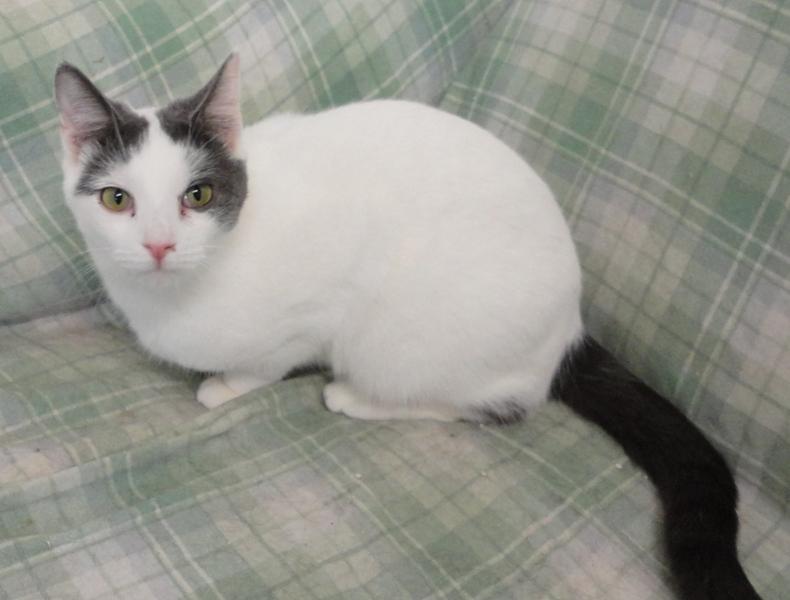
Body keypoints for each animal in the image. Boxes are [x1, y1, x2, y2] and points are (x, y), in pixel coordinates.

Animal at [54, 54, 760, 596]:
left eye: (197, 196)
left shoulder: (320, 302)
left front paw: (226, 386)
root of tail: (570, 326)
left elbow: (267, 362)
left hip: (404, 341)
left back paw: (354, 397)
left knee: (500, 404)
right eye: (117, 199)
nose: (158, 245)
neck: (179, 295)